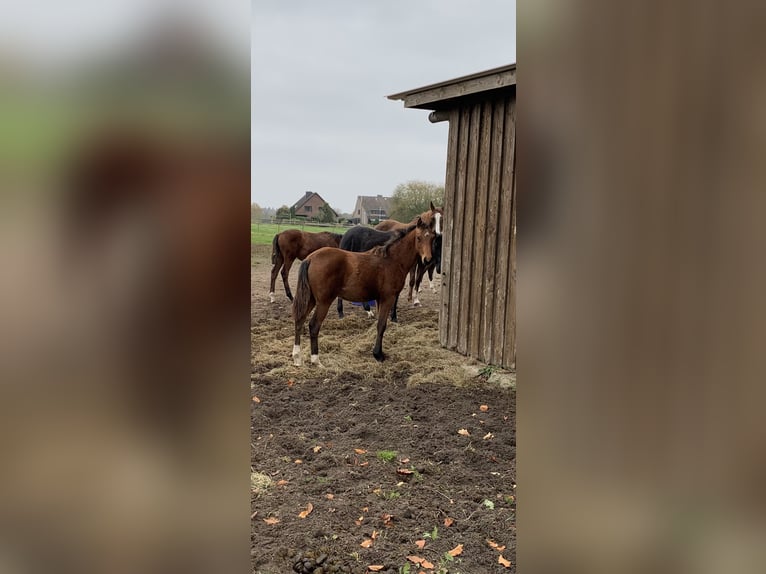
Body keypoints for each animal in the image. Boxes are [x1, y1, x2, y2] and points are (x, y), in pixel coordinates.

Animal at [291, 217, 435, 365]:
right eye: (418, 238)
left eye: (432, 238)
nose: (427, 259)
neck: (392, 260)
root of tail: (310, 258)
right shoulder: (388, 298)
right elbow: (382, 325)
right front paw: (378, 355)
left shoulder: (379, 299)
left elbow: (379, 324)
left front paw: (378, 352)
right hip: (323, 302)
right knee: (313, 325)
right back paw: (316, 360)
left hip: (311, 299)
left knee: (299, 320)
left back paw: (297, 358)